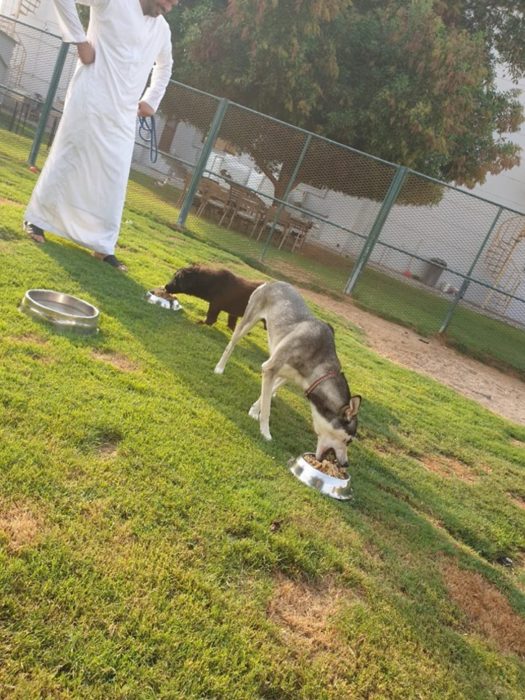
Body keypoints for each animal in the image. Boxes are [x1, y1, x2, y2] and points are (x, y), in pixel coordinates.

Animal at [213, 278, 360, 464]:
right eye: (347, 440)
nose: (345, 464)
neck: (319, 361)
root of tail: (272, 282)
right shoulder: (270, 368)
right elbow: (267, 409)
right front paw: (265, 432)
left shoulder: (290, 376)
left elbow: (267, 394)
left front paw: (254, 410)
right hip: (247, 323)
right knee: (230, 346)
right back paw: (220, 367)